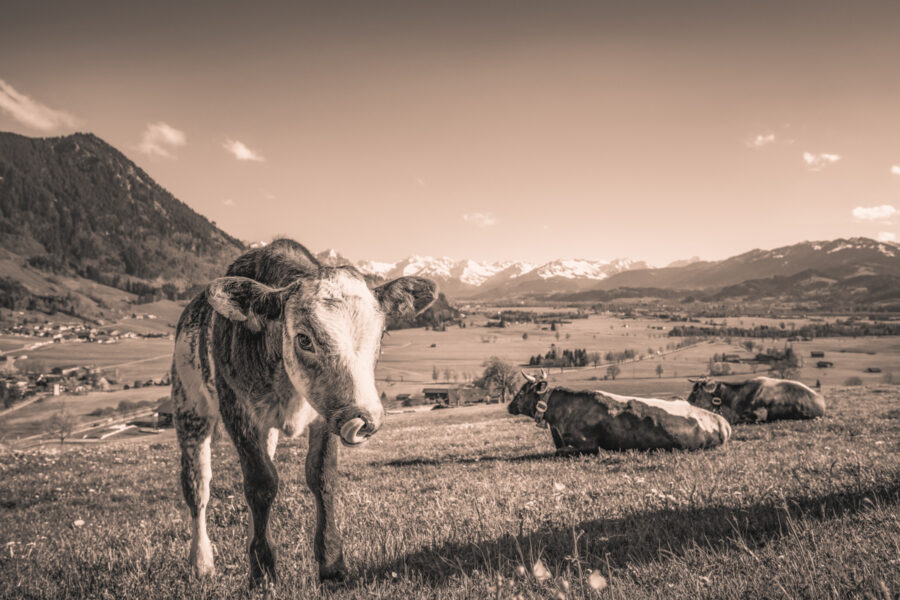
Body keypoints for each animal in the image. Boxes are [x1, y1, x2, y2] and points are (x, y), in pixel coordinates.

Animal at [171, 239, 436, 592]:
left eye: (381, 335)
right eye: (303, 338)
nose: (365, 417)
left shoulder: (325, 414)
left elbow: (320, 475)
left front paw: (331, 563)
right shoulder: (237, 411)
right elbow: (260, 483)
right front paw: (262, 570)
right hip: (189, 408)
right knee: (198, 487)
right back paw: (200, 562)